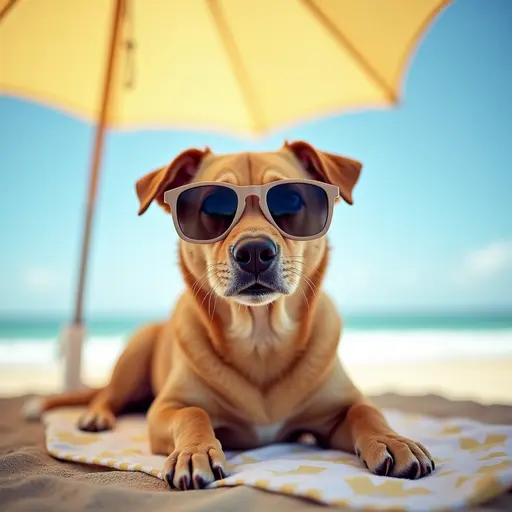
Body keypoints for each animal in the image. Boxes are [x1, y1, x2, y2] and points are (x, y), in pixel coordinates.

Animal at [26, 141, 434, 492]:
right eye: (213, 207)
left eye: (291, 200)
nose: (254, 251)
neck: (261, 338)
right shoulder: (165, 410)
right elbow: (194, 413)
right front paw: (195, 452)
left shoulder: (336, 412)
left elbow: (366, 411)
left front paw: (392, 440)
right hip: (134, 358)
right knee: (106, 394)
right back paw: (96, 416)